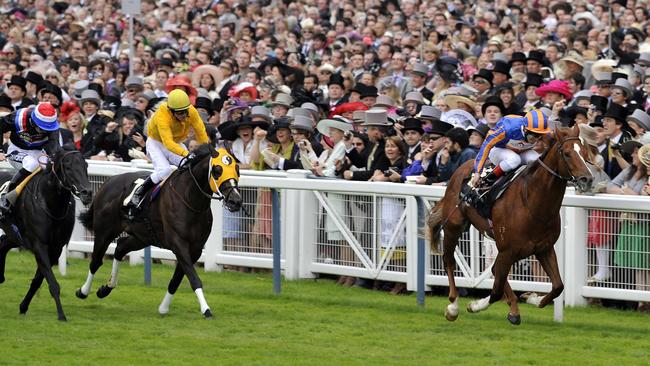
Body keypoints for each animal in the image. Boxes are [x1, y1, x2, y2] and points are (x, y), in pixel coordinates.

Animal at [0, 147, 92, 322]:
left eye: (86, 165)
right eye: (68, 167)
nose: (87, 193)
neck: (51, 205)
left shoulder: (55, 248)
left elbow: (38, 280)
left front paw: (23, 306)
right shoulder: (39, 245)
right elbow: (53, 283)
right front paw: (62, 315)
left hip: (14, 234)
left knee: (3, 245)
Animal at [76, 143, 243, 318]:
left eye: (237, 169)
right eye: (217, 170)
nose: (236, 201)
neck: (190, 200)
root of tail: (108, 182)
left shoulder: (195, 249)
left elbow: (176, 280)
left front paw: (163, 308)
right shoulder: (179, 244)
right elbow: (193, 278)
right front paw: (206, 309)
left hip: (142, 237)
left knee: (120, 247)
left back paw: (106, 288)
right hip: (104, 232)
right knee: (96, 261)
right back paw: (83, 291)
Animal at [426, 124, 592, 324]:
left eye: (585, 152)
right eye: (567, 153)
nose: (587, 179)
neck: (532, 203)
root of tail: (461, 168)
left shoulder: (543, 247)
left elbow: (558, 286)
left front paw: (531, 298)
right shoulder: (508, 250)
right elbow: (496, 291)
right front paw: (475, 305)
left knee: (495, 269)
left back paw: (513, 307)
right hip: (454, 226)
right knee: (449, 260)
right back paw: (453, 306)